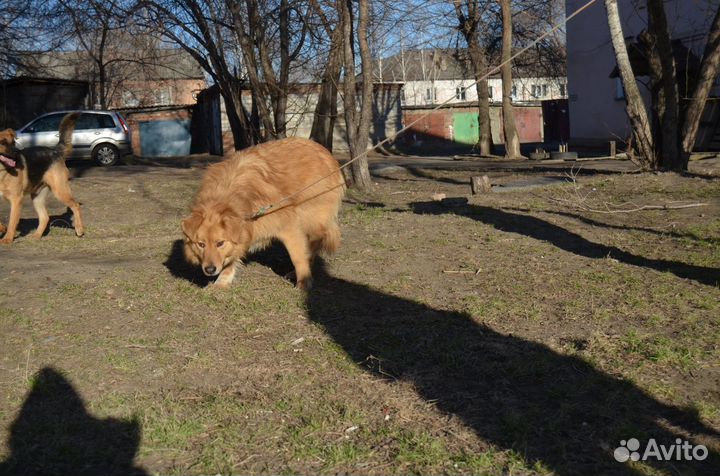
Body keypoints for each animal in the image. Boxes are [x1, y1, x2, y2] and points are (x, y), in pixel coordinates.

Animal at [0, 113, 84, 244]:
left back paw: (79, 229)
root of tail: (55, 151)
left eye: (13, 143)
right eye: (2, 142)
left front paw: (8, 238)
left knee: (76, 206)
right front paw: (3, 229)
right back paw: (37, 235)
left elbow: (12, 222)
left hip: (60, 191)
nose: (16, 153)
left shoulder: (16, 200)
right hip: (37, 197)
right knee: (45, 217)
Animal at [183, 136, 346, 288]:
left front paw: (303, 283)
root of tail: (324, 151)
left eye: (220, 243)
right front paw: (222, 280)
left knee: (311, 247)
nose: (209, 270)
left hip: (312, 218)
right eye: (201, 244)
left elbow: (298, 257)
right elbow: (232, 257)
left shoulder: (288, 227)